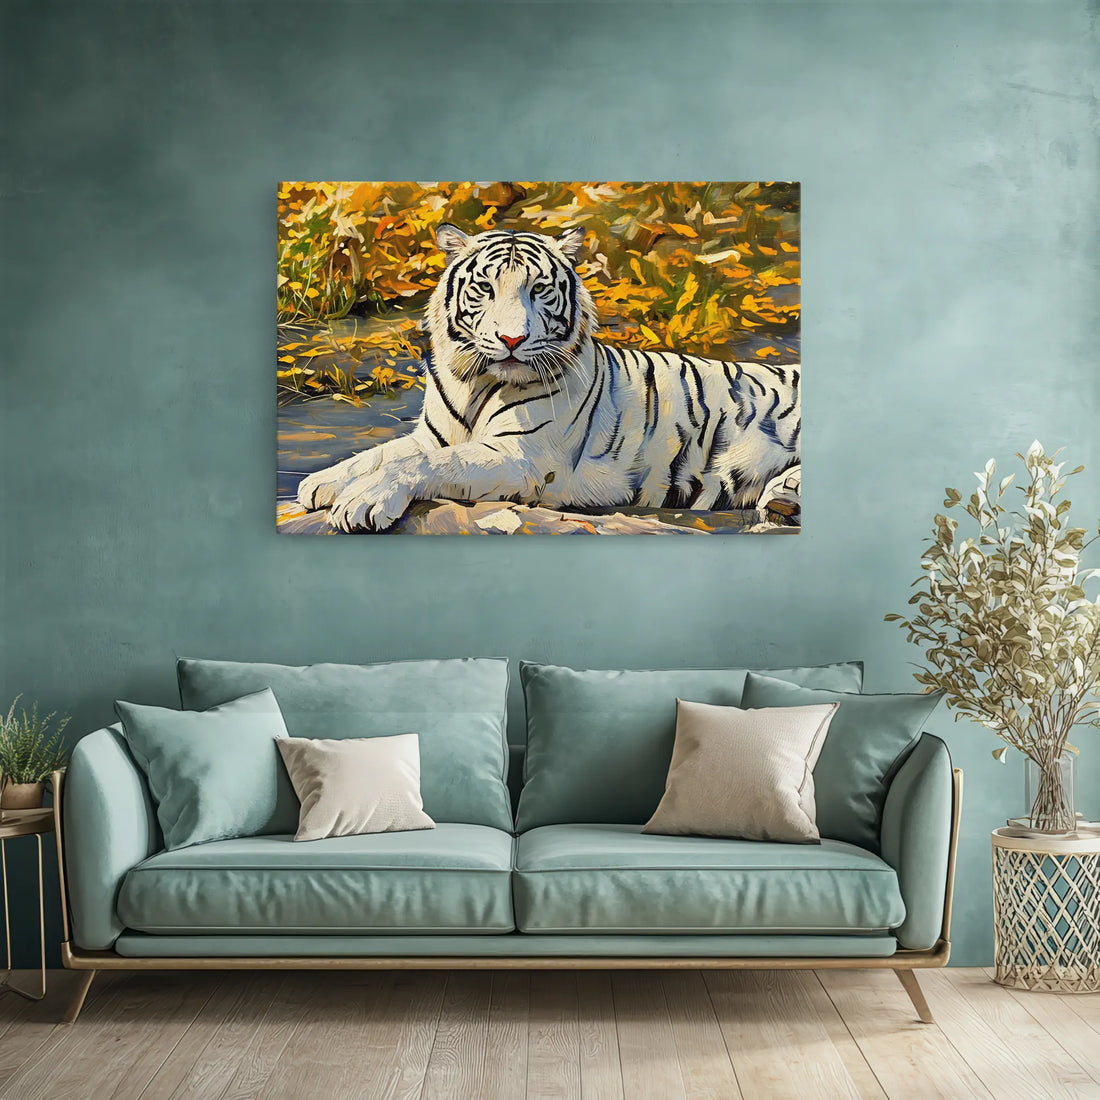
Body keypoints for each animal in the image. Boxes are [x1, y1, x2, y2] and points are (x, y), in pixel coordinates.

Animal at [296, 223, 800, 532]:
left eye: (538, 290)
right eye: (485, 288)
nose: (511, 338)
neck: (475, 382)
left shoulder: (521, 456)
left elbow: (426, 464)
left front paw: (362, 502)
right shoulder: (432, 435)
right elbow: (381, 453)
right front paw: (321, 482)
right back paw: (784, 500)